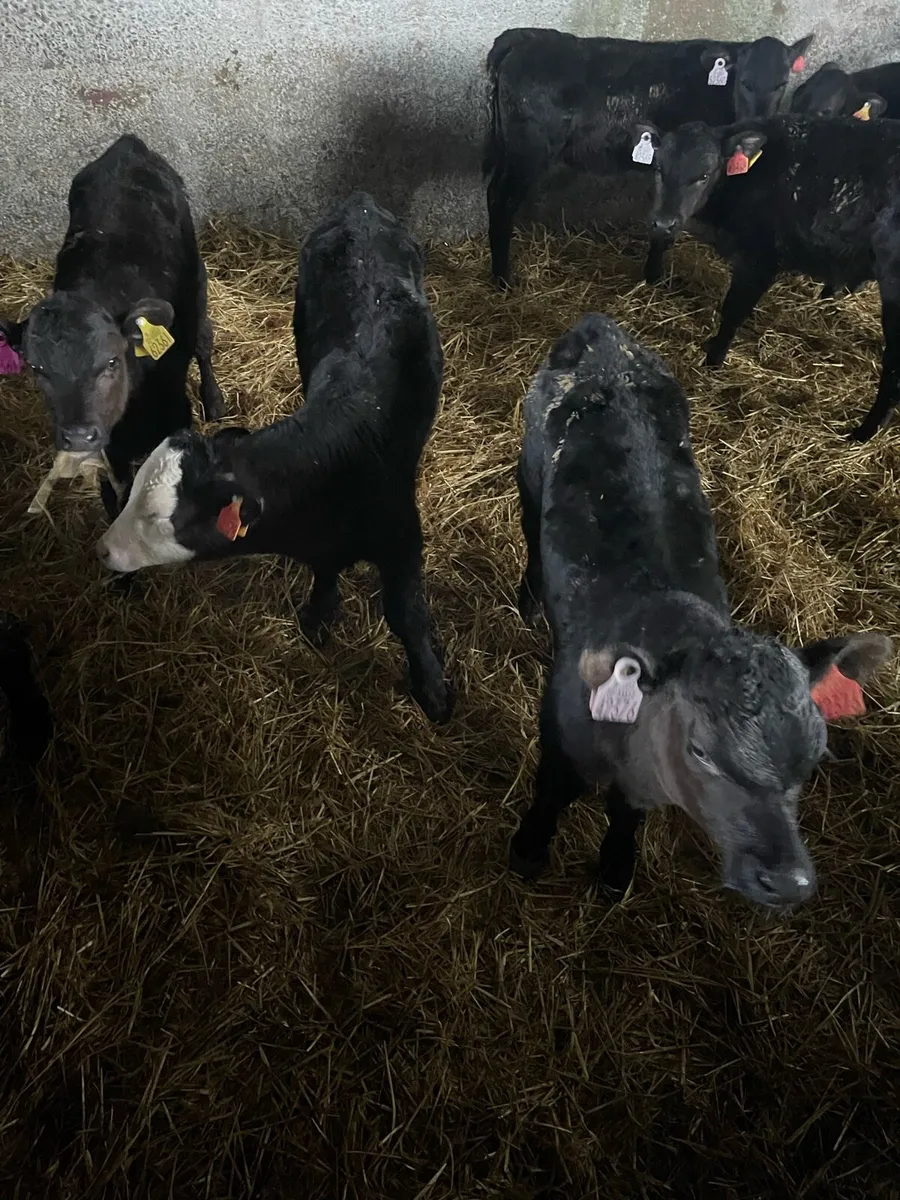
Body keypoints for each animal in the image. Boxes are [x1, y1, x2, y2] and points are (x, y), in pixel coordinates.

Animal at [0, 134, 226, 520]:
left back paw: (214, 400)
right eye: (36, 368)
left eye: (111, 361)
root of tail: (127, 145)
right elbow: (116, 497)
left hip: (198, 283)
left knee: (203, 340)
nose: (78, 436)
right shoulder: (109, 453)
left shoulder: (175, 416)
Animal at [95, 192, 452, 725]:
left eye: (160, 519)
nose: (103, 550)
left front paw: (432, 687)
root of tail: (361, 206)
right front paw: (319, 617)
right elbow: (325, 576)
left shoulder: (402, 537)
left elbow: (407, 615)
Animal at [483, 26, 814, 287]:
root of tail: (524, 37)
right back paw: (503, 278)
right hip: (528, 152)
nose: (758, 118)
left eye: (782, 84)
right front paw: (654, 277)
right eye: (744, 82)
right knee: (502, 199)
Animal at [510, 313, 892, 908]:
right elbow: (549, 794)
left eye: (813, 760)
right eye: (701, 751)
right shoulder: (557, 738)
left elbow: (626, 815)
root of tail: (603, 331)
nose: (788, 882)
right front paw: (527, 851)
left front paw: (617, 869)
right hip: (528, 472)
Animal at [639, 114, 900, 441]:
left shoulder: (761, 259)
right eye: (659, 169)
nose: (663, 223)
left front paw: (713, 358)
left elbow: (733, 311)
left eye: (704, 175)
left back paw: (864, 431)